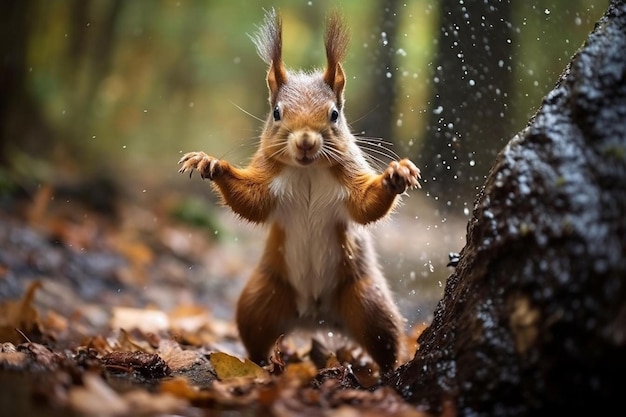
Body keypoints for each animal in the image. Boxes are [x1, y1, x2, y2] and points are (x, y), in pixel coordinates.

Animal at [176, 8, 420, 370]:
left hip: (368, 303)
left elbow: (365, 206)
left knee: (385, 342)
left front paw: (397, 173)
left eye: (334, 114)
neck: (308, 173)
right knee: (255, 336)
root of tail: (315, 316)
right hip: (261, 300)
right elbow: (252, 202)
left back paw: (387, 372)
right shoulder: (268, 181)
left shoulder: (349, 178)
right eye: (277, 113)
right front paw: (211, 164)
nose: (305, 141)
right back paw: (259, 365)